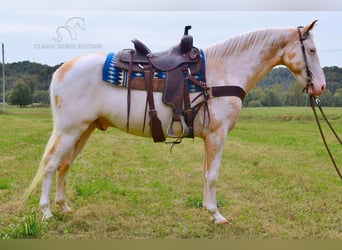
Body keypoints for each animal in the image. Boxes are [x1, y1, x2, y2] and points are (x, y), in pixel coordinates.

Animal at [24, 20, 326, 224]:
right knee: (50, 164)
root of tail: (62, 69)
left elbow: (205, 174)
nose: (321, 87)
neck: (223, 71)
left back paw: (63, 207)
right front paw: (217, 215)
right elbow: (213, 175)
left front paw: (208, 210)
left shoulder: (209, 138)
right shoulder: (217, 135)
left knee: (64, 165)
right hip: (69, 130)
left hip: (83, 130)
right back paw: (47, 211)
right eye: (311, 50)